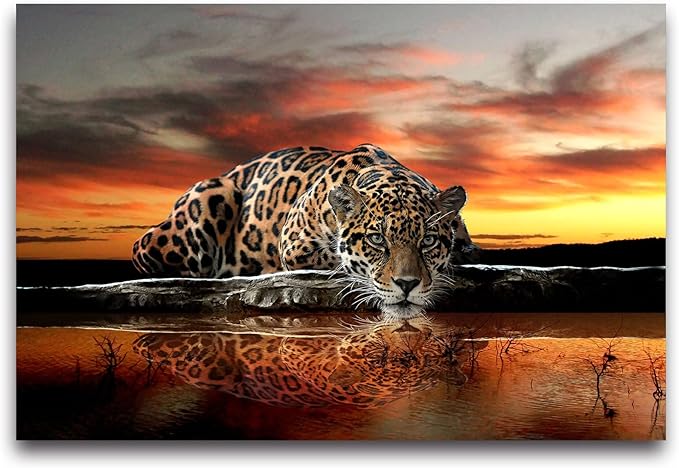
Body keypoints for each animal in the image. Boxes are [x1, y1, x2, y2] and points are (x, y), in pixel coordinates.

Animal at [132, 144, 479, 319]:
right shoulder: (294, 245)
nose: (407, 284)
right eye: (376, 240)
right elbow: (338, 259)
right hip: (208, 199)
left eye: (428, 241)